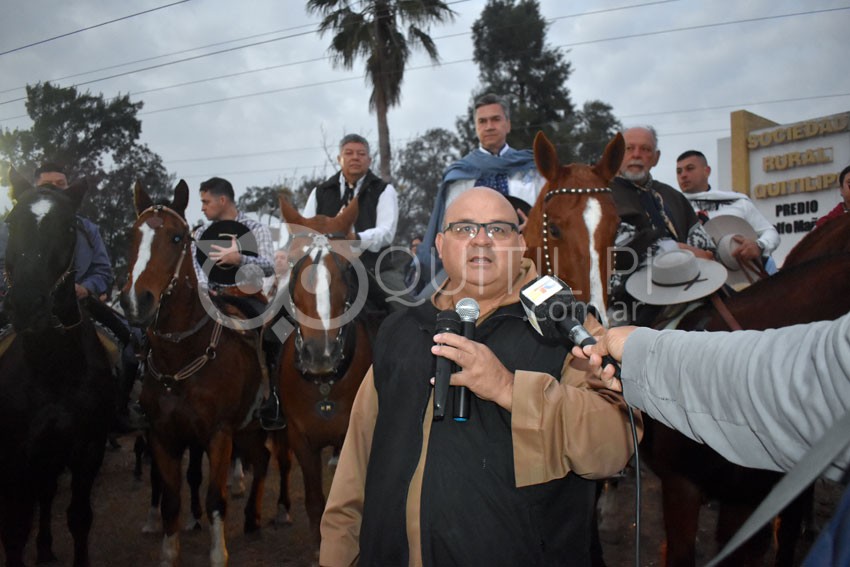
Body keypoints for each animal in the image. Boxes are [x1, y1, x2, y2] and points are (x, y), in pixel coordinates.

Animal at [119, 182, 268, 567]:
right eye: (132, 235)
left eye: (176, 237)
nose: (136, 301)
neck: (180, 359)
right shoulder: (162, 436)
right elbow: (171, 499)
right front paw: (169, 551)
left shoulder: (219, 434)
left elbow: (216, 498)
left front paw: (218, 553)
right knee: (261, 460)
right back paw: (253, 517)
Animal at [274, 196, 372, 552]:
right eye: (293, 264)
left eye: (346, 268)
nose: (320, 353)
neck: (325, 386)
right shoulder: (299, 439)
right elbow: (317, 501)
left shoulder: (351, 437)